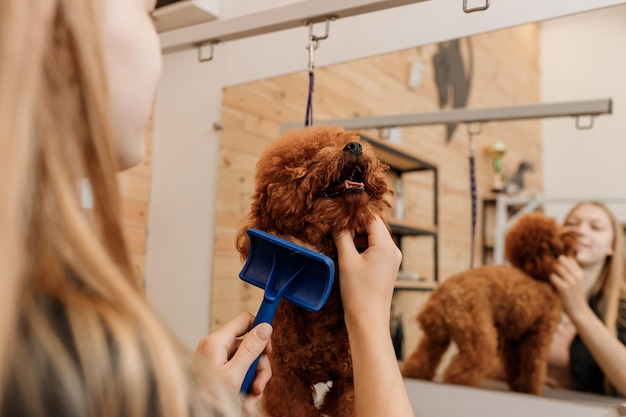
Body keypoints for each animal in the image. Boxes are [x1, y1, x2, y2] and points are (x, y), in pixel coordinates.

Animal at [400, 211, 576, 394]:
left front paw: (518, 386)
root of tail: (442, 296)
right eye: (555, 232)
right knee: (461, 369)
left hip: (436, 337)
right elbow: (533, 365)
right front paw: (531, 389)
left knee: (422, 357)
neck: (538, 276)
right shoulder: (539, 334)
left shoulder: (514, 337)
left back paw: (414, 374)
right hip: (478, 333)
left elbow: (514, 364)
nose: (572, 235)